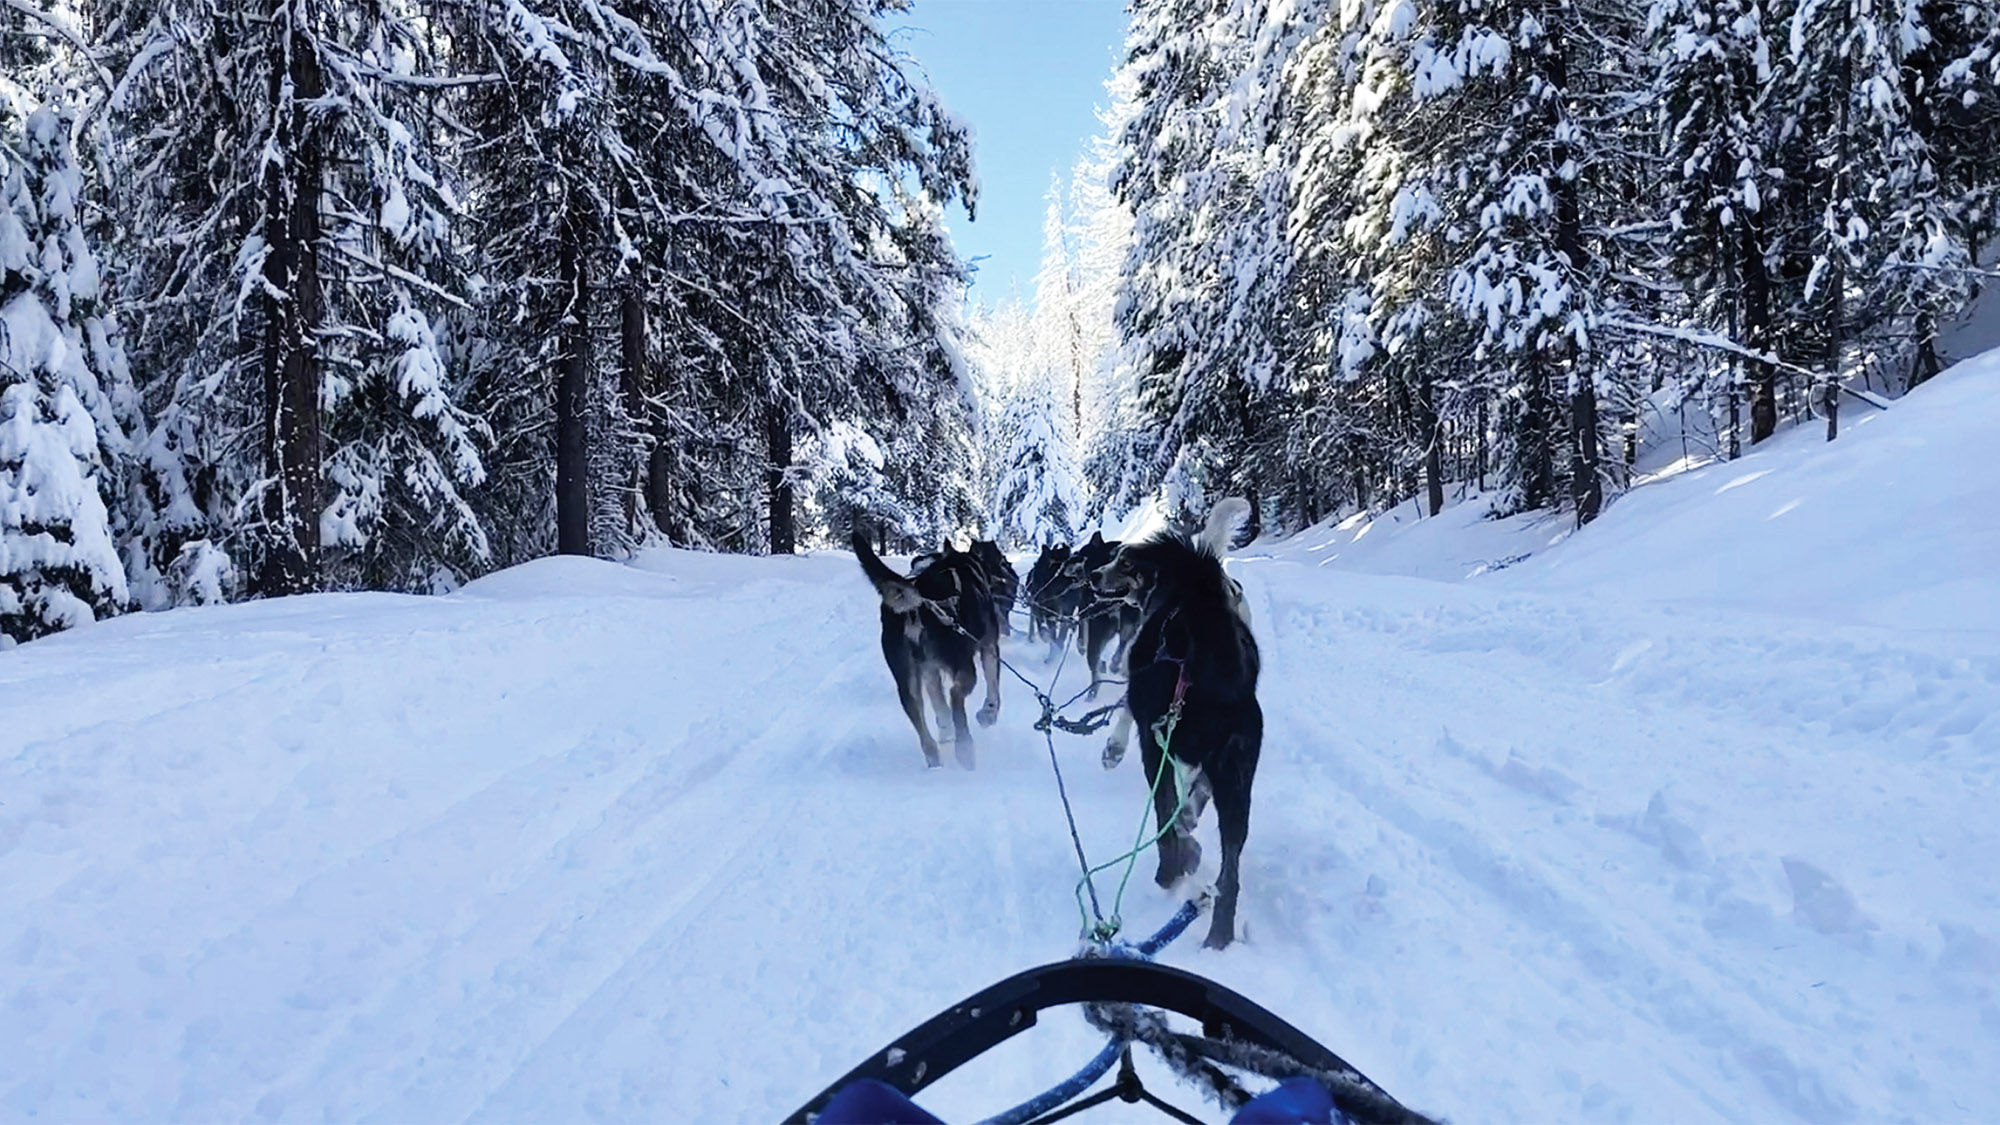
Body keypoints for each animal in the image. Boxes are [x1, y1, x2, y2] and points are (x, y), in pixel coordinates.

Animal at [848, 532, 1000, 760]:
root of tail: (919, 602)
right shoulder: (989, 646)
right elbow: (993, 689)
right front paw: (988, 714)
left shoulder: (929, 670)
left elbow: (939, 705)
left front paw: (945, 729)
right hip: (963, 665)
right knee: (955, 695)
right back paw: (964, 748)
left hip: (907, 680)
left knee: (922, 726)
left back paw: (935, 756)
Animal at [1088, 498, 1256, 944]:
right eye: (1115, 557)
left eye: (1125, 562)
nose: (1094, 575)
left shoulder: (1149, 723)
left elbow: (1125, 709)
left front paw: (1112, 749)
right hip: (1236, 779)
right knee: (1229, 872)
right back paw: (1217, 933)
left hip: (1162, 747)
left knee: (1167, 815)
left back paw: (1172, 867)